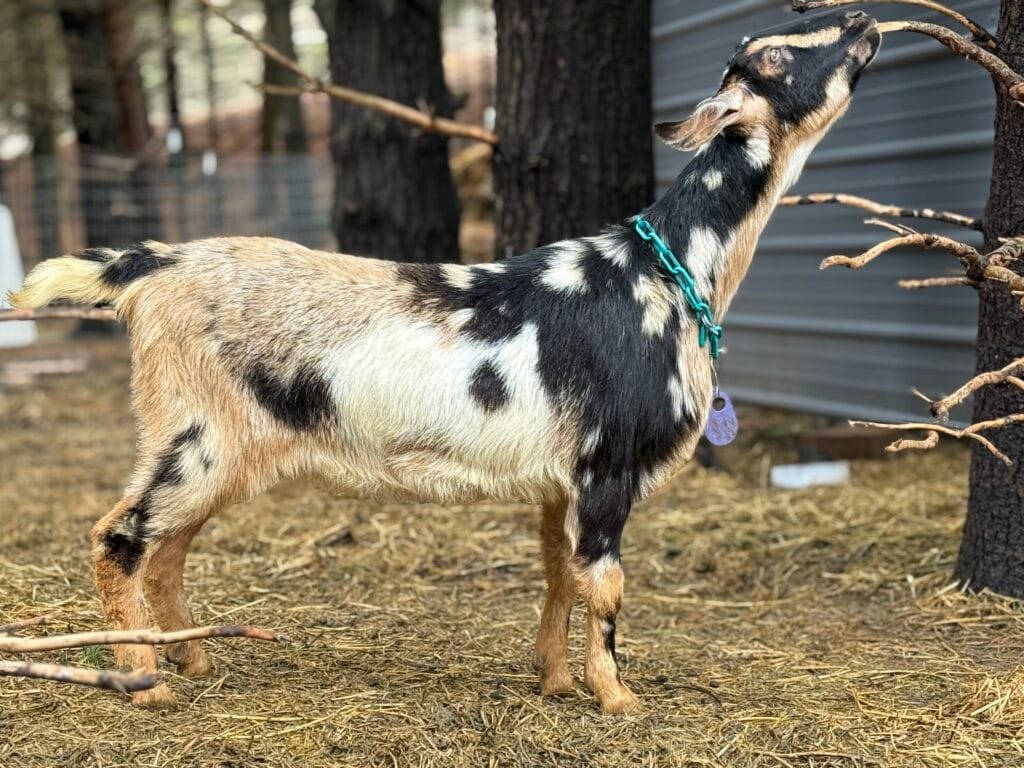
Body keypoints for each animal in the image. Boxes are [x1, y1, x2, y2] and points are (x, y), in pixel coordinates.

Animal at [10, 11, 880, 713]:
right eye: (774, 57)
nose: (864, 20)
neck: (666, 271)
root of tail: (150, 265)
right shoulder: (609, 467)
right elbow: (604, 585)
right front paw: (616, 700)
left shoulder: (560, 481)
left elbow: (558, 574)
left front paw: (553, 682)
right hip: (196, 435)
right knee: (119, 538)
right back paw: (143, 681)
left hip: (221, 447)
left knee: (166, 551)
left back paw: (189, 661)